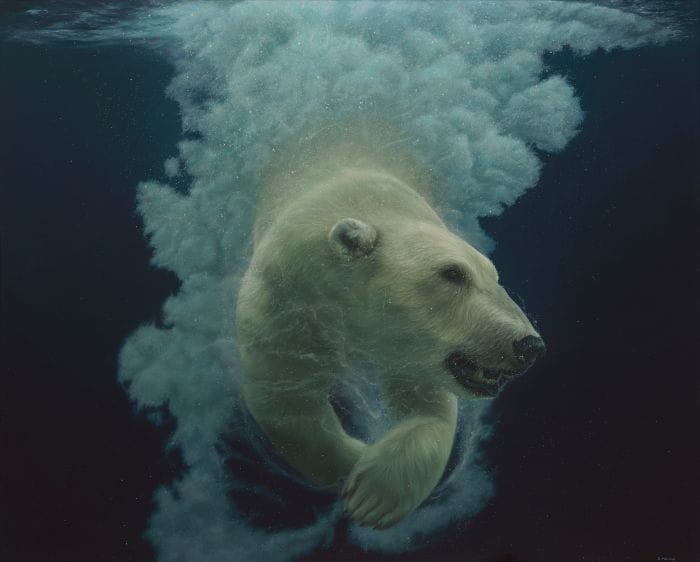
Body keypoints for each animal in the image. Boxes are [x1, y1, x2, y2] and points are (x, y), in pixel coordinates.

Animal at [235, 137, 545, 529]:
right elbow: (285, 394)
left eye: (495, 275)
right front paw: (353, 463)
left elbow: (426, 408)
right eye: (453, 273)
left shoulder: (413, 351)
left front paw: (373, 494)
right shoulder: (285, 300)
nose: (529, 345)